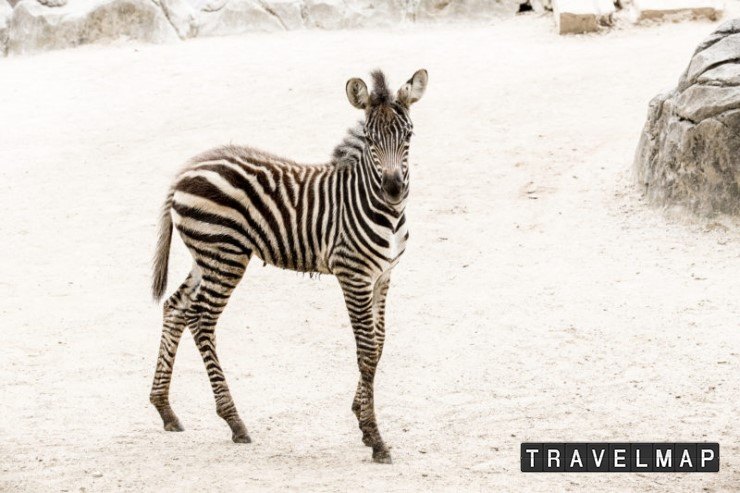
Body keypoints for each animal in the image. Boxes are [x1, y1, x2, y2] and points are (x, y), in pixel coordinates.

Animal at [150, 68, 428, 462]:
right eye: (370, 139)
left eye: (408, 135)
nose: (393, 190)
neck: (378, 208)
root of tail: (185, 171)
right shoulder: (353, 275)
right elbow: (366, 350)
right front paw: (374, 437)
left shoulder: (383, 276)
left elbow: (379, 345)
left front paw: (361, 417)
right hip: (225, 254)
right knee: (201, 320)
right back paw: (234, 421)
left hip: (205, 255)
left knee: (175, 307)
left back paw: (165, 409)